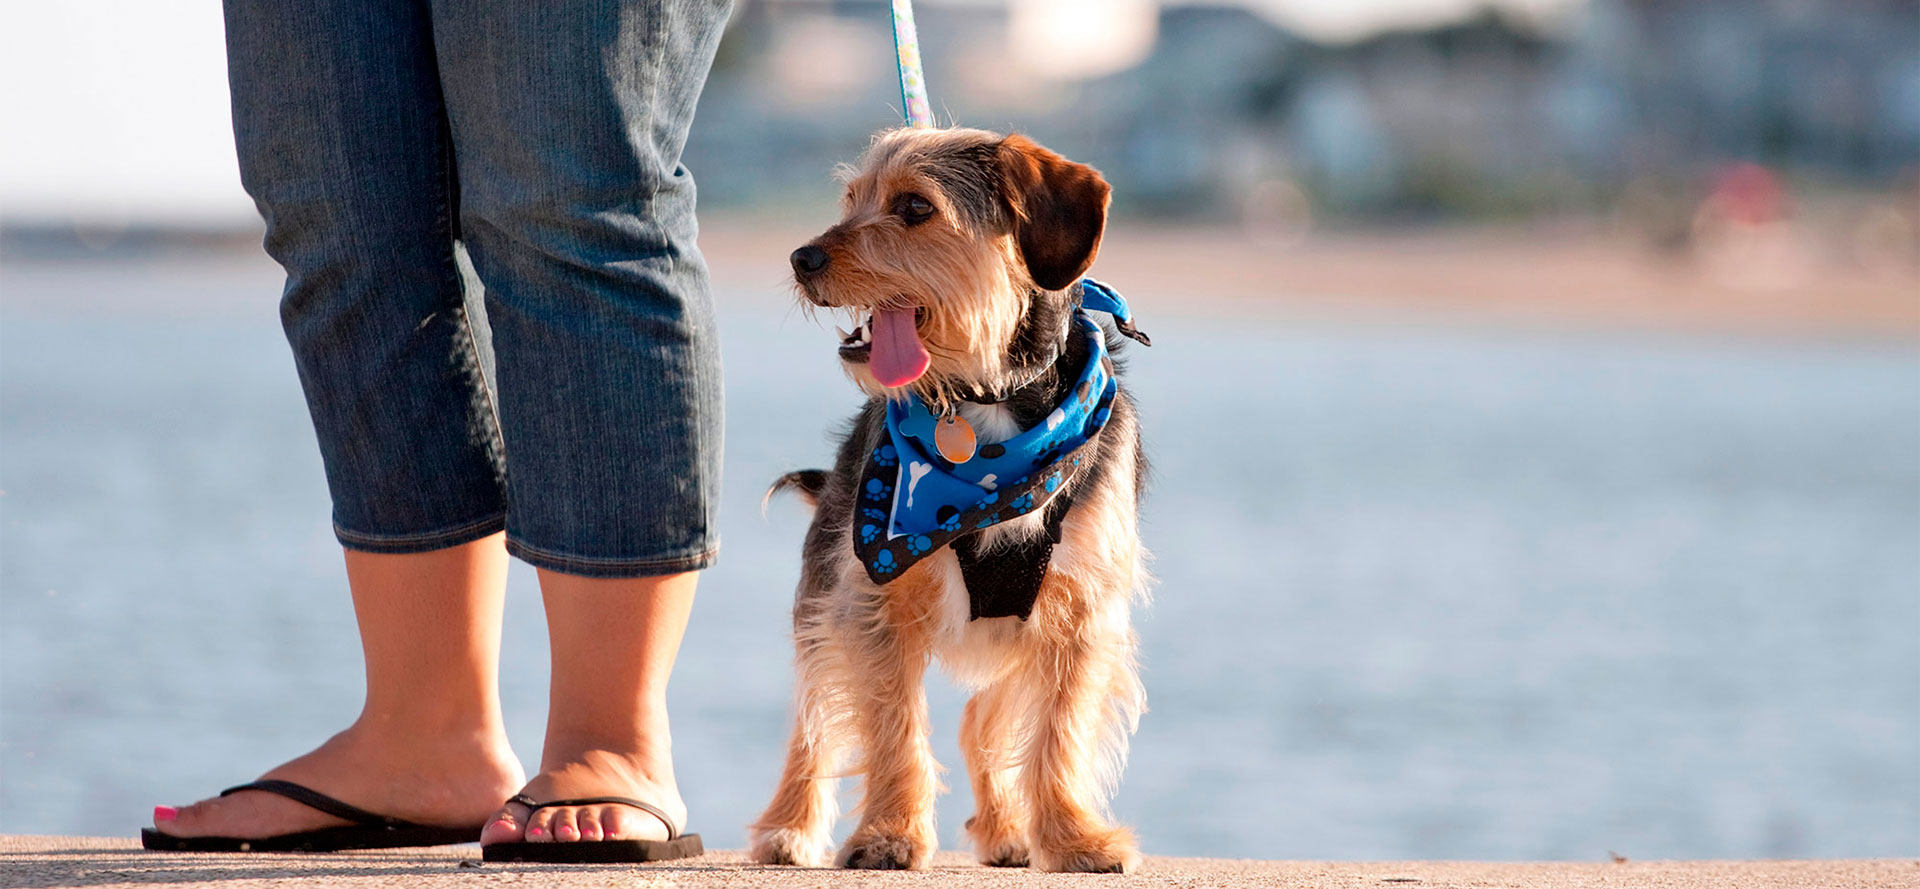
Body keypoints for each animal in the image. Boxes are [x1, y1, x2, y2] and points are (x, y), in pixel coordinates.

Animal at [748, 126, 1144, 875]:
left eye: (914, 207)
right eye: (852, 199)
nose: (800, 258)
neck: (983, 406)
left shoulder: (1080, 613)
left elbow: (1061, 732)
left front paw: (1073, 838)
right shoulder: (869, 601)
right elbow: (893, 726)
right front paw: (889, 835)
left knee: (982, 723)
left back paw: (1008, 829)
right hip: (820, 601)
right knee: (814, 722)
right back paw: (787, 827)